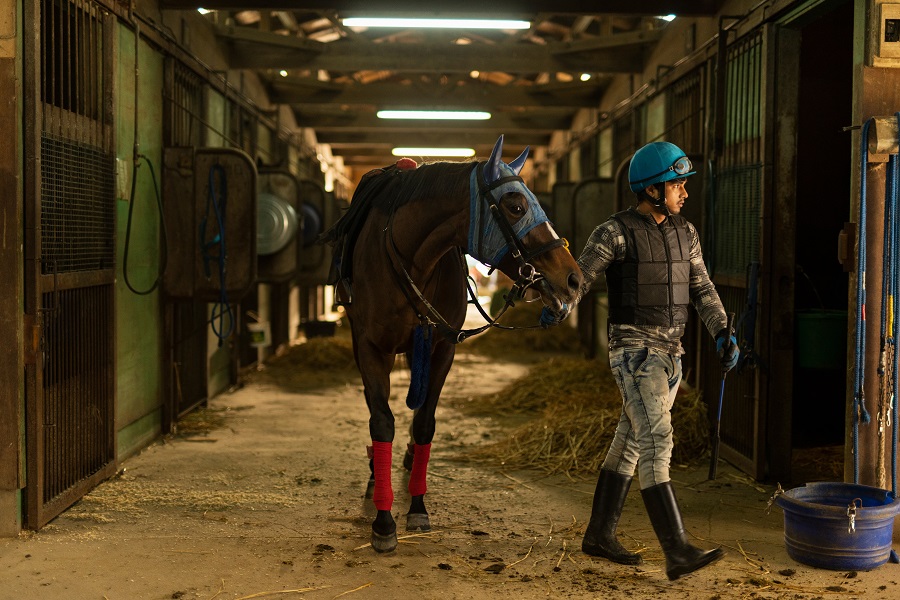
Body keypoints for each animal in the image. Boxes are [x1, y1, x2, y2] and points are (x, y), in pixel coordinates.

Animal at [324, 135, 584, 552]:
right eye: (515, 206)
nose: (573, 278)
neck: (411, 259)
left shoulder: (442, 348)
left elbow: (425, 423)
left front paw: (417, 506)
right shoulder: (371, 348)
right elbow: (381, 421)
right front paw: (383, 520)